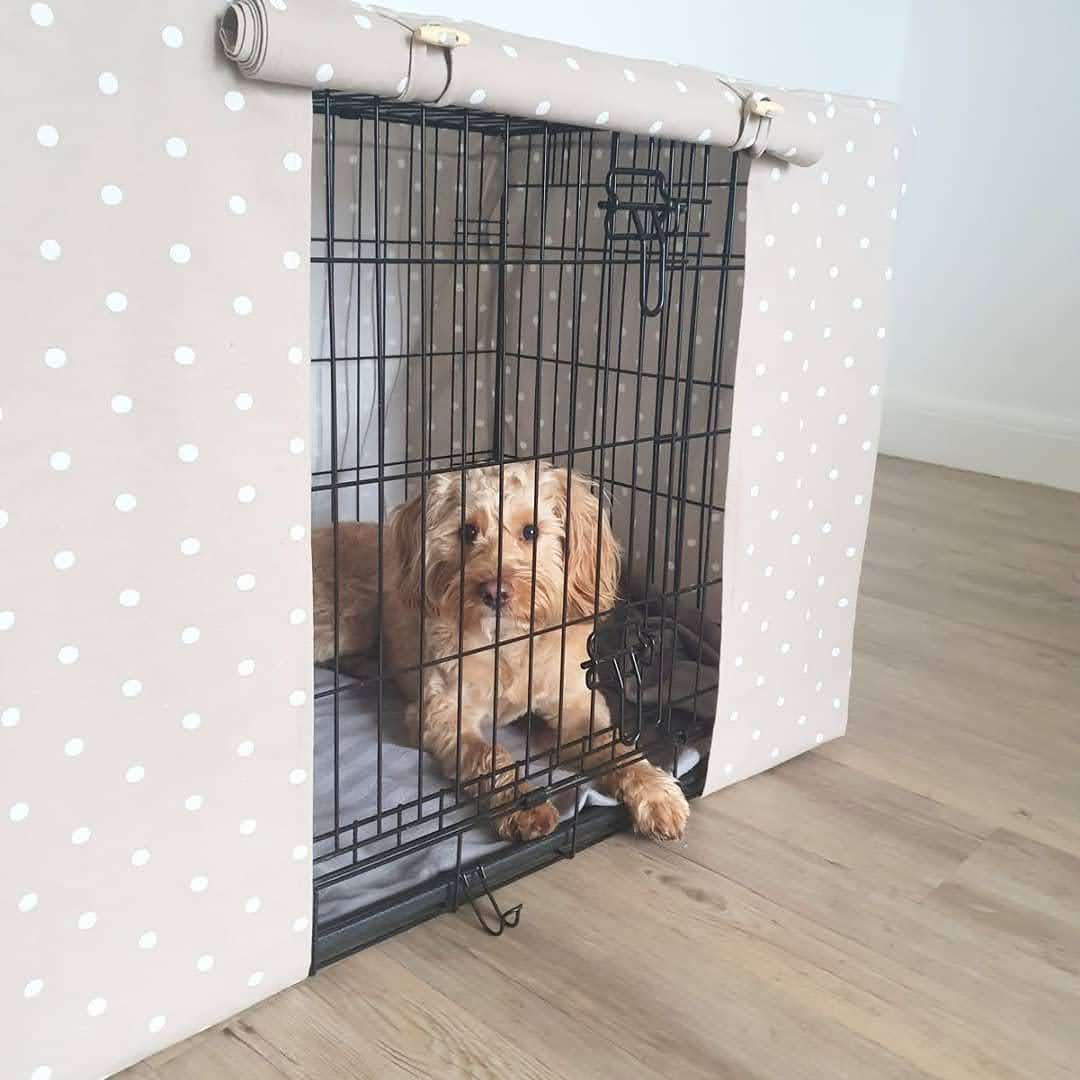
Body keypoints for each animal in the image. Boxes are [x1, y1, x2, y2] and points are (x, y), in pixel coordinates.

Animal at [311, 455, 691, 842]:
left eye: (531, 532)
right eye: (467, 532)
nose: (494, 591)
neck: (509, 641)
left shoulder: (577, 706)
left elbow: (615, 747)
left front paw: (654, 791)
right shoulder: (443, 713)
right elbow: (489, 755)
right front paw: (525, 807)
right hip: (342, 622)